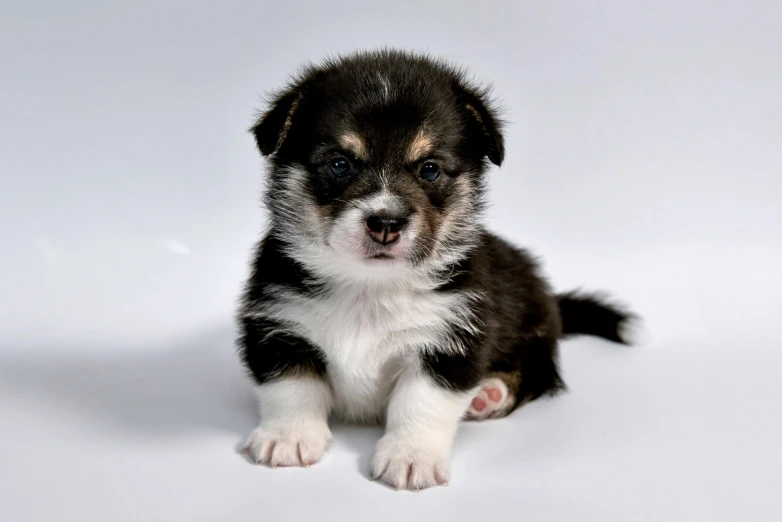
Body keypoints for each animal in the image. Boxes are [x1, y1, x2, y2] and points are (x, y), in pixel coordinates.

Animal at [236, 48, 640, 488]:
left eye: (429, 168)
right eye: (340, 164)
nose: (386, 223)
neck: (369, 286)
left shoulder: (449, 343)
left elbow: (420, 405)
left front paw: (410, 457)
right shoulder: (279, 326)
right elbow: (292, 389)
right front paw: (288, 437)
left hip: (536, 329)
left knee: (543, 373)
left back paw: (491, 393)